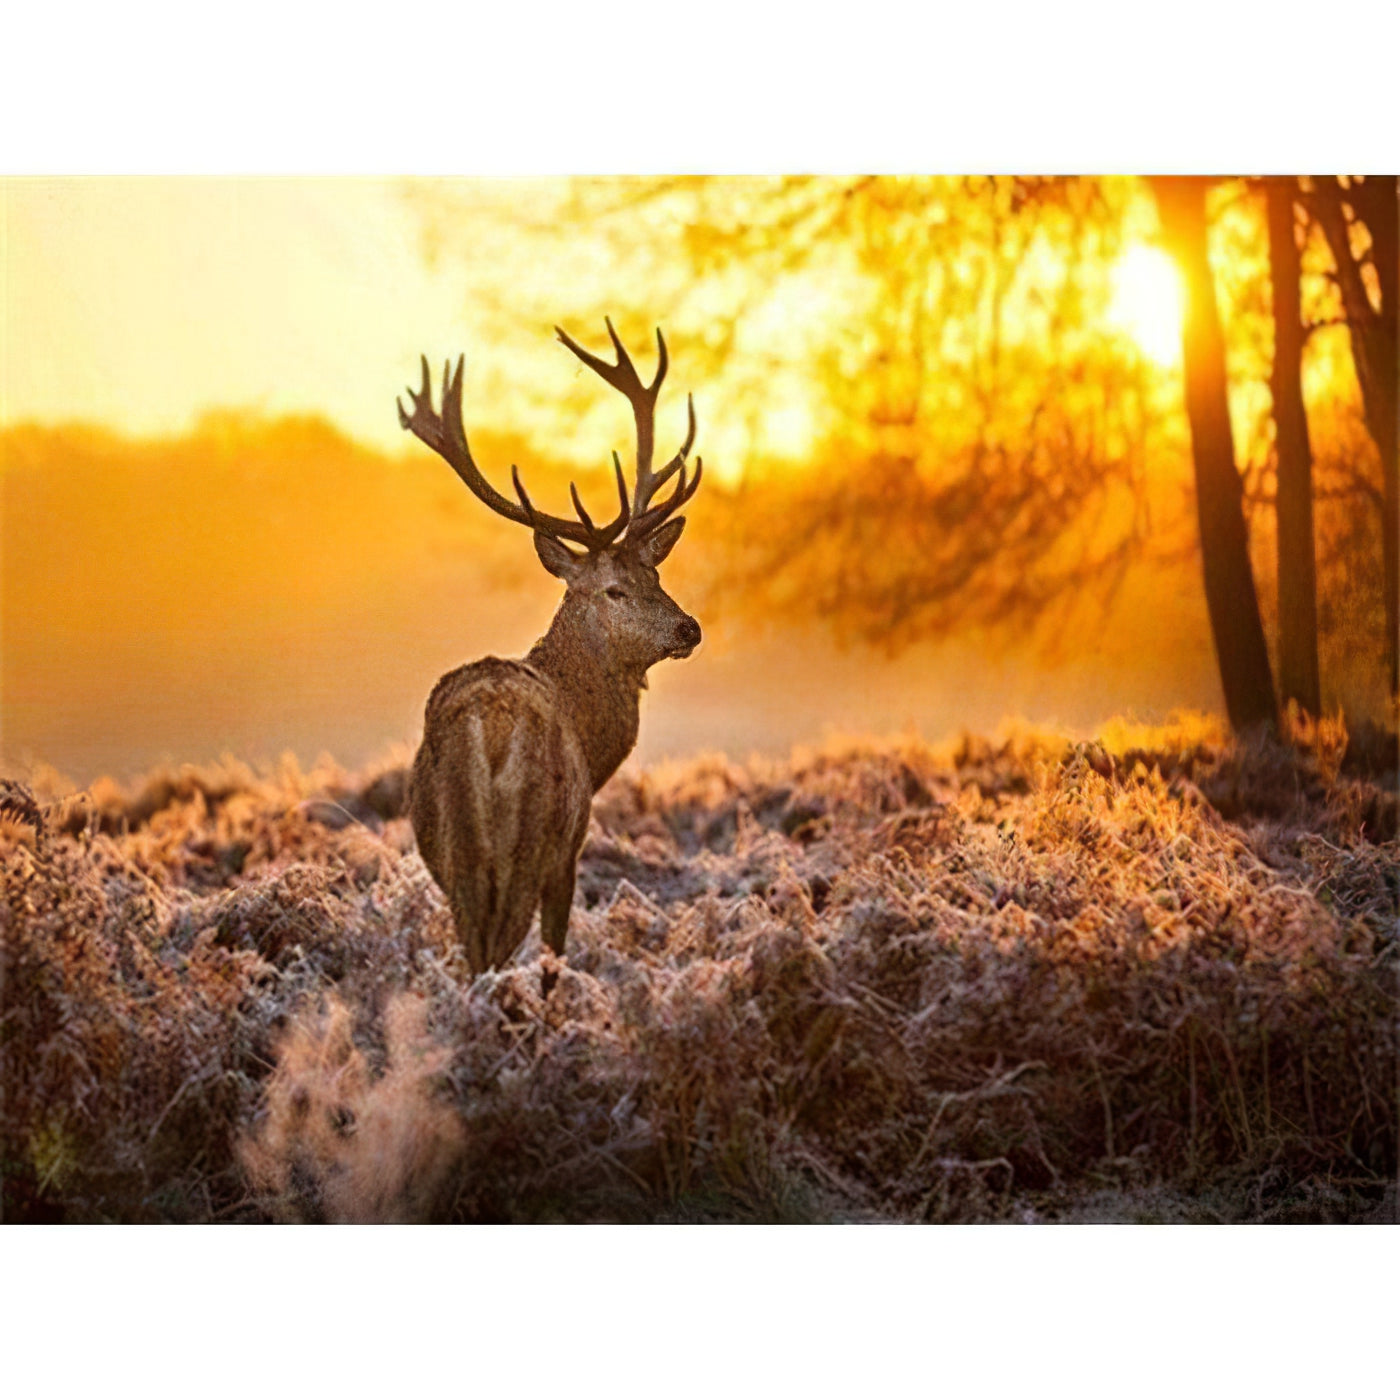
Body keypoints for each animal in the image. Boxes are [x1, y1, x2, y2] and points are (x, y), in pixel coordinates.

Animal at [392, 320, 700, 985]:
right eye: (614, 588)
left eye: (656, 574)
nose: (689, 628)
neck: (593, 739)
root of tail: (489, 735)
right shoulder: (570, 849)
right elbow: (556, 951)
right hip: (526, 848)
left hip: (454, 855)